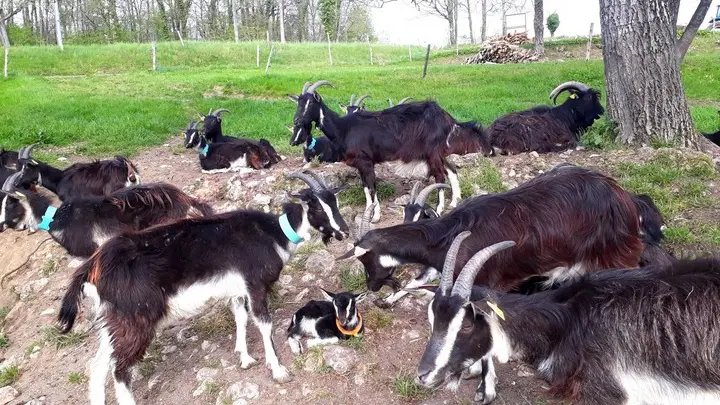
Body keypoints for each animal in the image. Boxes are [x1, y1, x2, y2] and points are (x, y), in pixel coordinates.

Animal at [56, 170, 348, 404]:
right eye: (317, 208)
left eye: (334, 203)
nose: (344, 233)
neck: (273, 234)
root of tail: (92, 267)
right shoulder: (255, 285)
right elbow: (264, 325)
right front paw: (278, 371)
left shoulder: (237, 291)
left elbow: (240, 318)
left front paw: (244, 358)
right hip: (136, 318)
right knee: (119, 368)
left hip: (114, 319)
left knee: (98, 365)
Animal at [290, 79, 492, 223]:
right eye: (298, 102)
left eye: (310, 103)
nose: (297, 121)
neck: (343, 128)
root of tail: (448, 118)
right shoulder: (360, 164)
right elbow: (365, 188)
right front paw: (368, 213)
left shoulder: (366, 161)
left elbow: (372, 187)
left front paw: (376, 216)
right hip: (437, 153)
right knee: (451, 170)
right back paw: (455, 201)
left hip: (433, 152)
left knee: (440, 176)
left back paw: (440, 208)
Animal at [338, 163, 660, 308]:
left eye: (366, 260)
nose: (372, 287)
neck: (447, 236)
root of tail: (625, 199)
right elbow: (418, 281)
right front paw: (391, 299)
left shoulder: (483, 283)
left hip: (617, 254)